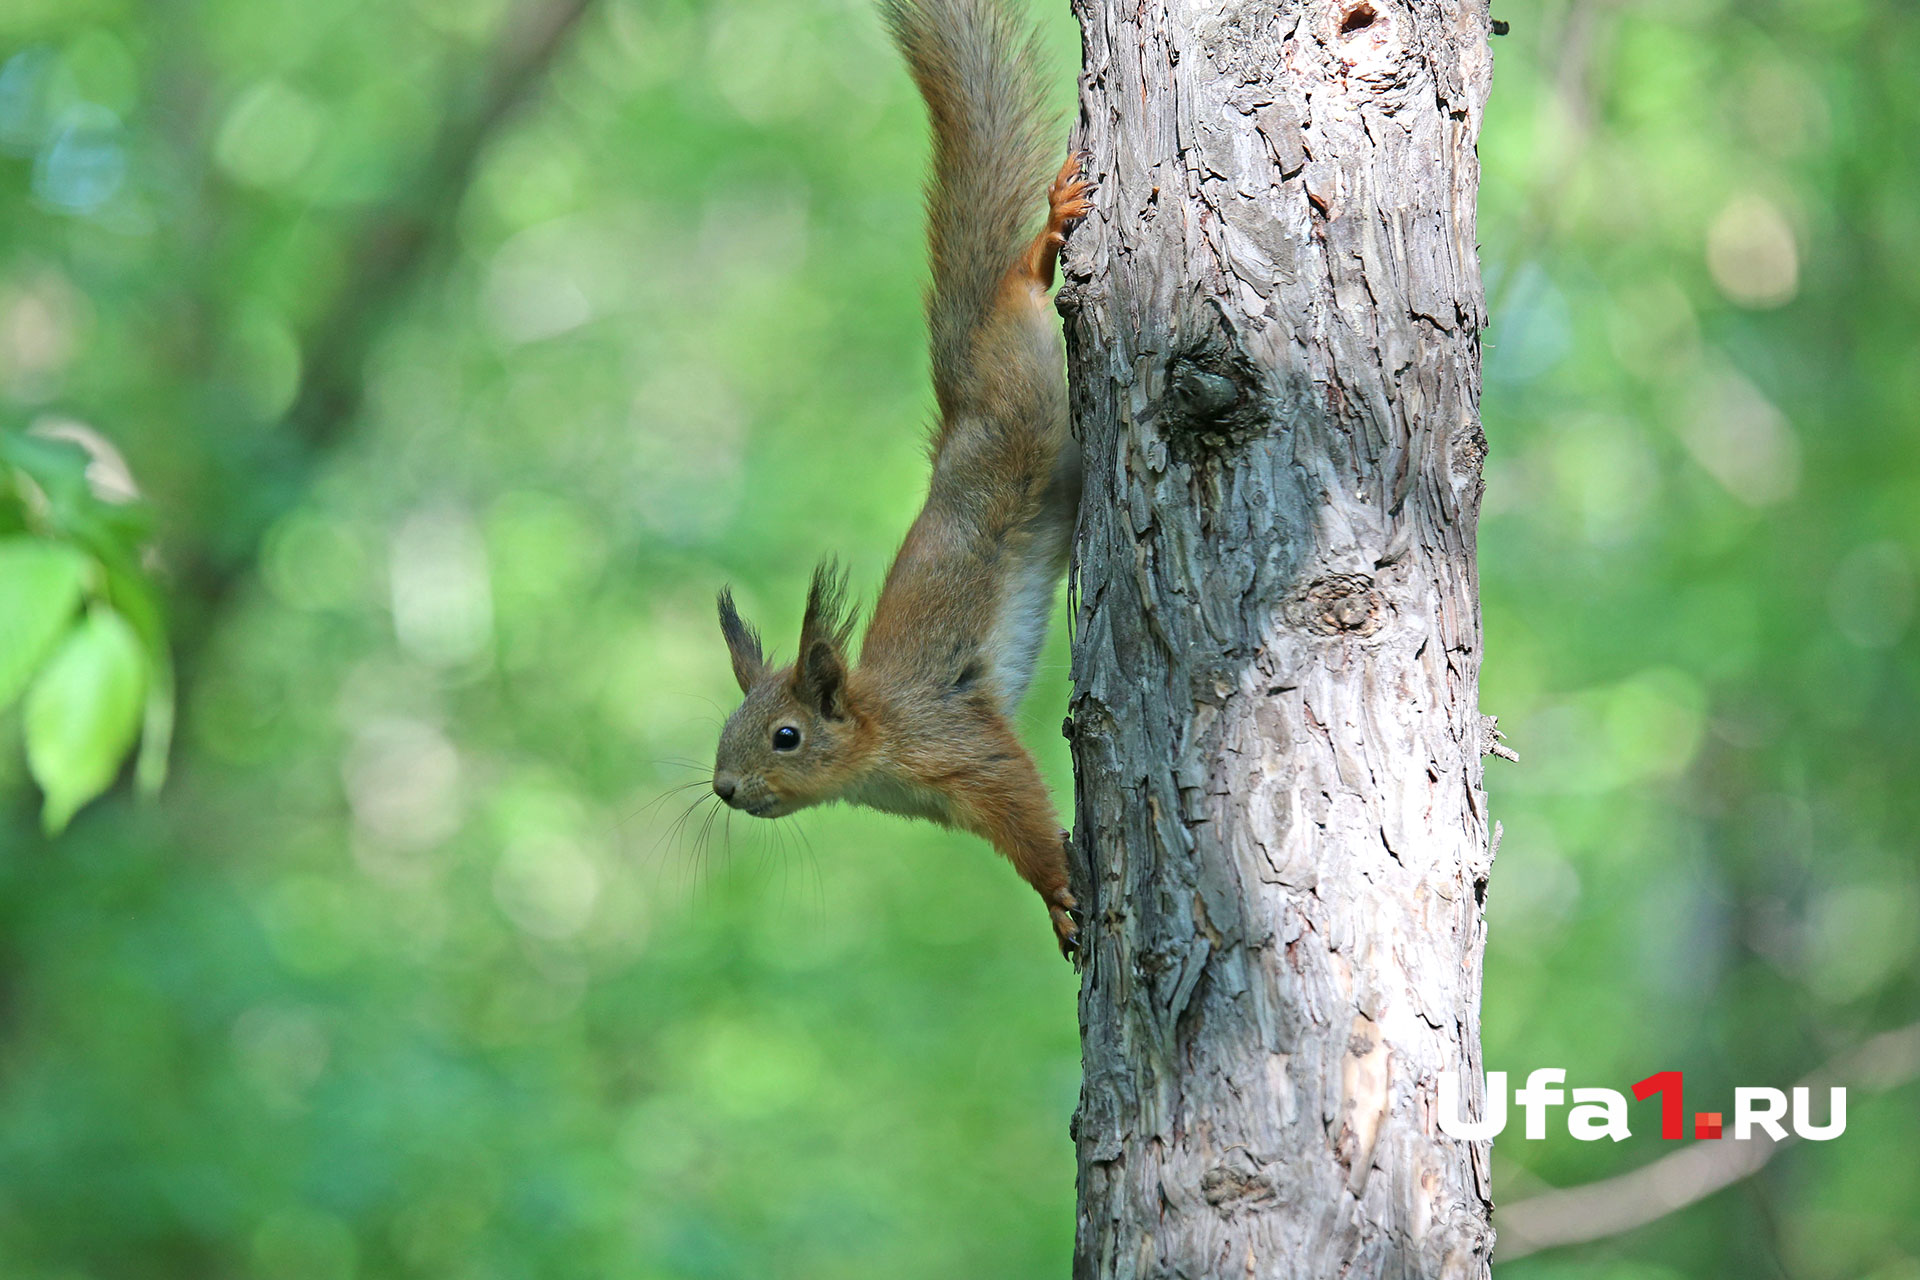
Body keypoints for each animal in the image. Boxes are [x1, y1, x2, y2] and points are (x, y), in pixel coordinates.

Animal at [710, 0, 1098, 955]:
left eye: (785, 736)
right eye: (726, 728)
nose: (725, 790)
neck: (878, 745)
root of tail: (957, 396)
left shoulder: (958, 744)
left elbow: (1023, 804)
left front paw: (1059, 890)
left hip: (1020, 389)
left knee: (1020, 283)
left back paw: (1051, 226)